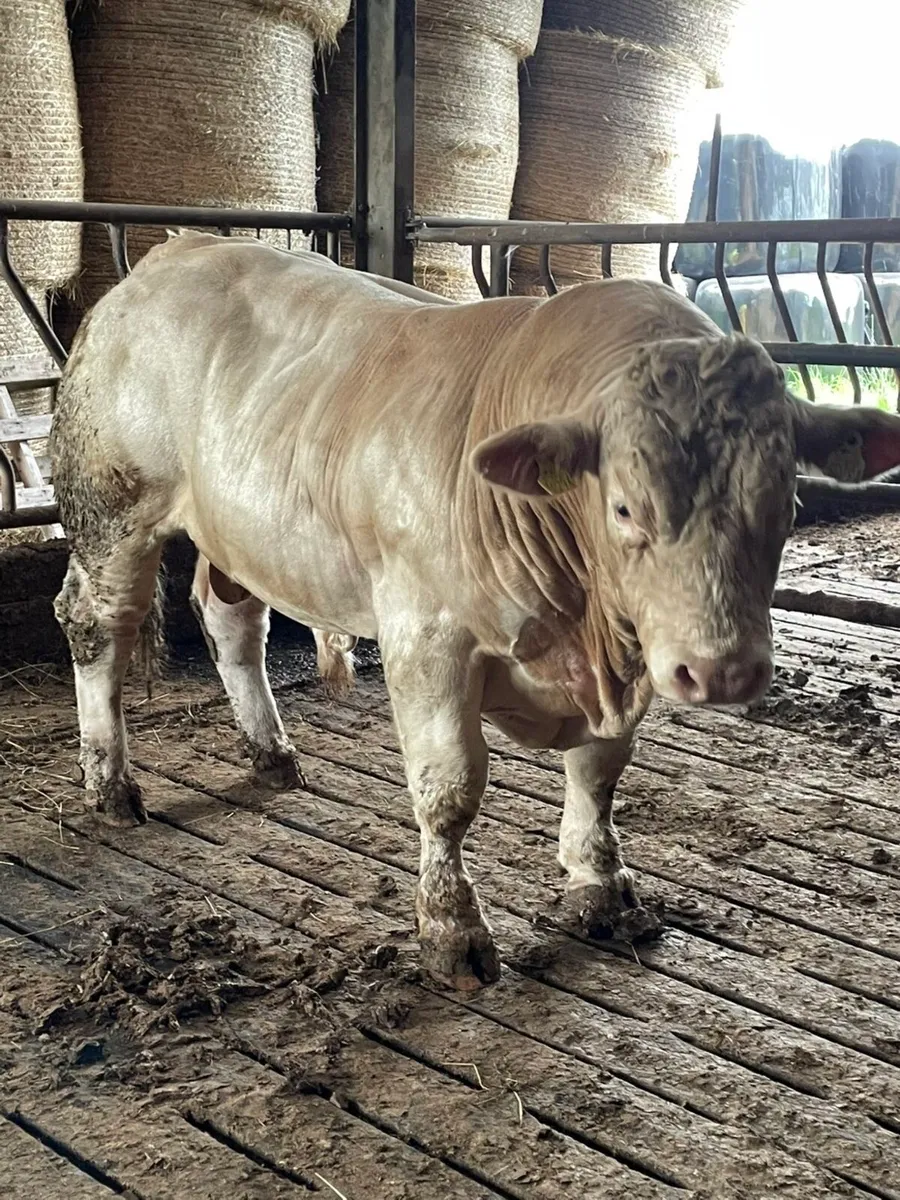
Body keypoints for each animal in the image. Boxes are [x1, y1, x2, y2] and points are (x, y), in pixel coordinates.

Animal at [50, 232, 900, 990]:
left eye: (788, 500)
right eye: (625, 508)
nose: (722, 670)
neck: (584, 635)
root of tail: (175, 251)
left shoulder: (625, 661)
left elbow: (599, 771)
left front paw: (599, 885)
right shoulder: (427, 637)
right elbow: (450, 789)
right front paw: (451, 930)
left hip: (238, 531)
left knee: (231, 621)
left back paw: (270, 752)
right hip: (110, 513)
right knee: (97, 628)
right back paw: (111, 786)